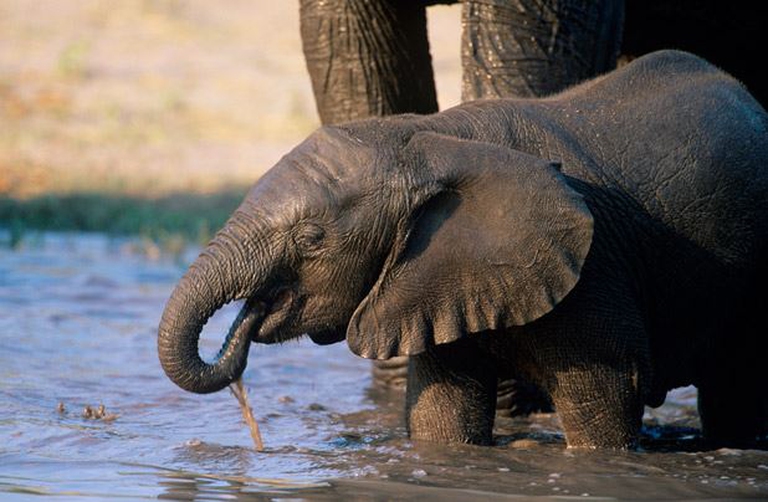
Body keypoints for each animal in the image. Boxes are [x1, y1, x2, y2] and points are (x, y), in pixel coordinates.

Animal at [158, 51, 768, 448]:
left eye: (310, 240)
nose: (247, 322)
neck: (431, 139)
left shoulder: (596, 272)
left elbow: (606, 403)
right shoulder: (433, 278)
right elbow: (442, 415)